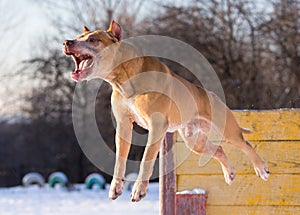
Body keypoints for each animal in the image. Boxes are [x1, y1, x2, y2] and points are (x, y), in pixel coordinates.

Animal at [62, 20, 270, 202]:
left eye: (92, 40)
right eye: (78, 37)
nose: (67, 42)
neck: (123, 77)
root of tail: (212, 96)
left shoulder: (157, 126)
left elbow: (146, 157)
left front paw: (138, 190)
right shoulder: (123, 125)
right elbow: (120, 158)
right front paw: (115, 188)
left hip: (227, 129)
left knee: (245, 145)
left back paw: (261, 169)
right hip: (193, 140)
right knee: (218, 149)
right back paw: (230, 173)